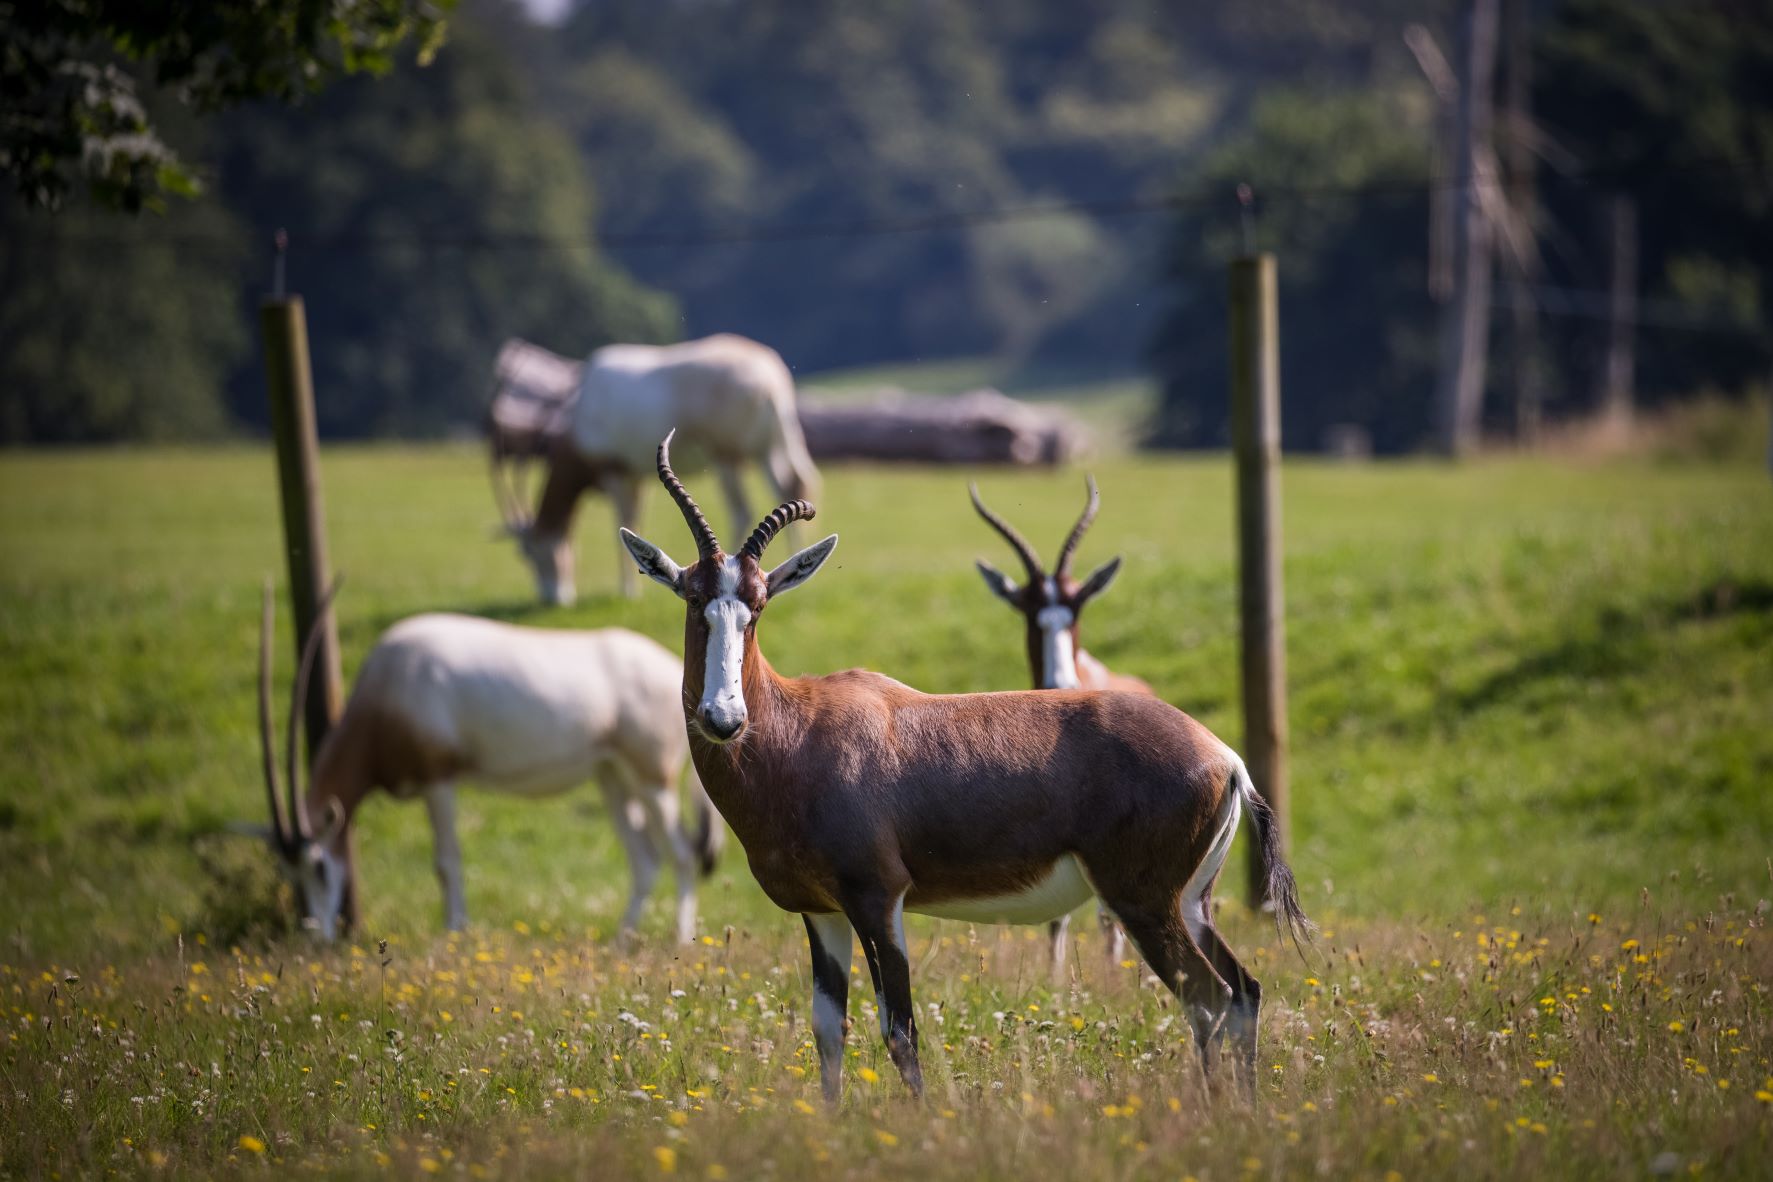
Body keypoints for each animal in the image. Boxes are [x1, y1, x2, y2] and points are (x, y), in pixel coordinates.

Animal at [246, 588, 723, 942]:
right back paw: (621, 939)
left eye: (320, 866)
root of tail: (677, 675)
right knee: (645, 858)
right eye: (288, 872)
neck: (388, 690)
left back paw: (680, 940)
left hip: (652, 780)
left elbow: (446, 861)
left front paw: (454, 931)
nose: (318, 938)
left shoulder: (438, 779)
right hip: (613, 778)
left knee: (681, 854)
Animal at [496, 334, 819, 606]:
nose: (553, 599)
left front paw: (627, 592)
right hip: (770, 447)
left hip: (727, 457)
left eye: (530, 552)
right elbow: (636, 520)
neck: (583, 408)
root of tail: (770, 380)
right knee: (793, 483)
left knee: (741, 508)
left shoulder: (614, 471)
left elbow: (622, 521)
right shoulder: (636, 476)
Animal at [964, 474, 1155, 978]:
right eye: (1029, 611)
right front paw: (1052, 980)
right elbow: (1056, 916)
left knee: (1113, 915)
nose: (1060, 682)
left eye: (1077, 608)